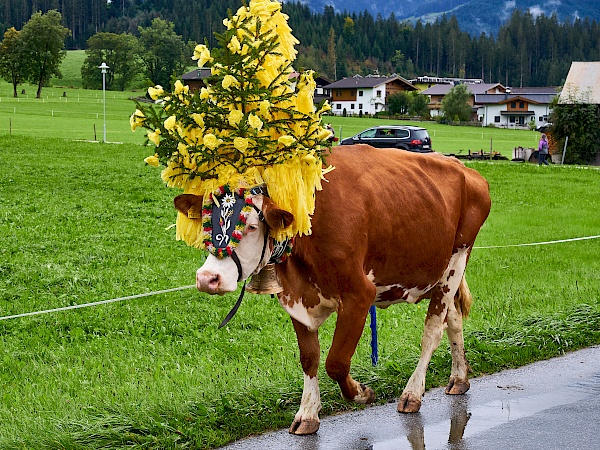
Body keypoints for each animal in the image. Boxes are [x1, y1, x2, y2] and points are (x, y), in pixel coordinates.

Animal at [173, 145, 492, 436]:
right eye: (206, 222)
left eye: (250, 226)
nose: (207, 278)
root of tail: (465, 169)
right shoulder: (295, 297)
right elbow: (309, 358)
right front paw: (307, 414)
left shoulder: (359, 295)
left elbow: (336, 362)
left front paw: (362, 392)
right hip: (440, 276)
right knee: (454, 320)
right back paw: (459, 378)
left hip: (456, 260)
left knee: (433, 330)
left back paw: (412, 393)